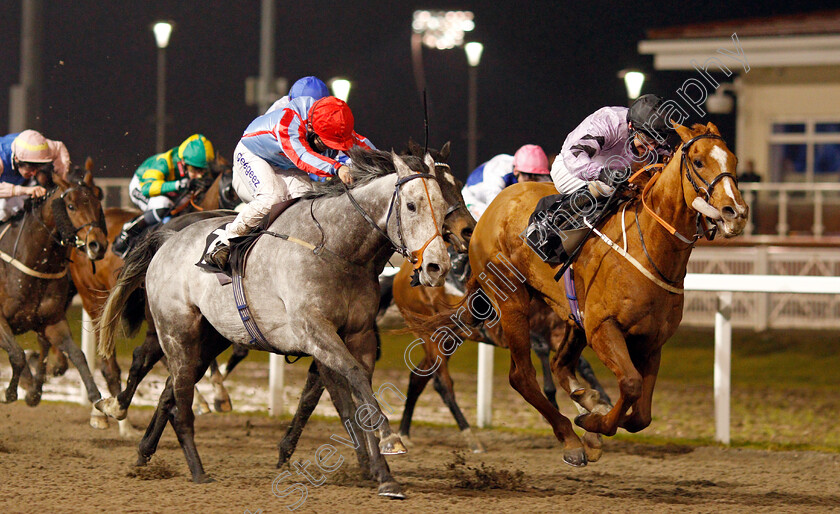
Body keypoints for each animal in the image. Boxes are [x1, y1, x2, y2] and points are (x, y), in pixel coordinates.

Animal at [98, 148, 450, 496]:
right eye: (411, 205)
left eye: (444, 206)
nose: (437, 267)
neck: (336, 248)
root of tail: (169, 238)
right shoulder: (314, 331)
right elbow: (354, 381)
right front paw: (390, 441)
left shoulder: (359, 334)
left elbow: (356, 393)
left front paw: (383, 474)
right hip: (177, 333)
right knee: (176, 396)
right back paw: (195, 470)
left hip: (210, 338)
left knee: (170, 392)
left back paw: (143, 453)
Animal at [406, 123, 748, 464]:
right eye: (699, 161)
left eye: (733, 160)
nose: (736, 212)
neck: (649, 248)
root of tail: (487, 215)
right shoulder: (602, 328)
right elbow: (631, 384)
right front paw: (592, 423)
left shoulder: (651, 341)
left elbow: (641, 415)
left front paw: (595, 415)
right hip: (511, 302)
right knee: (521, 376)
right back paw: (569, 437)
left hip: (569, 318)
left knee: (561, 365)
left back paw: (585, 402)